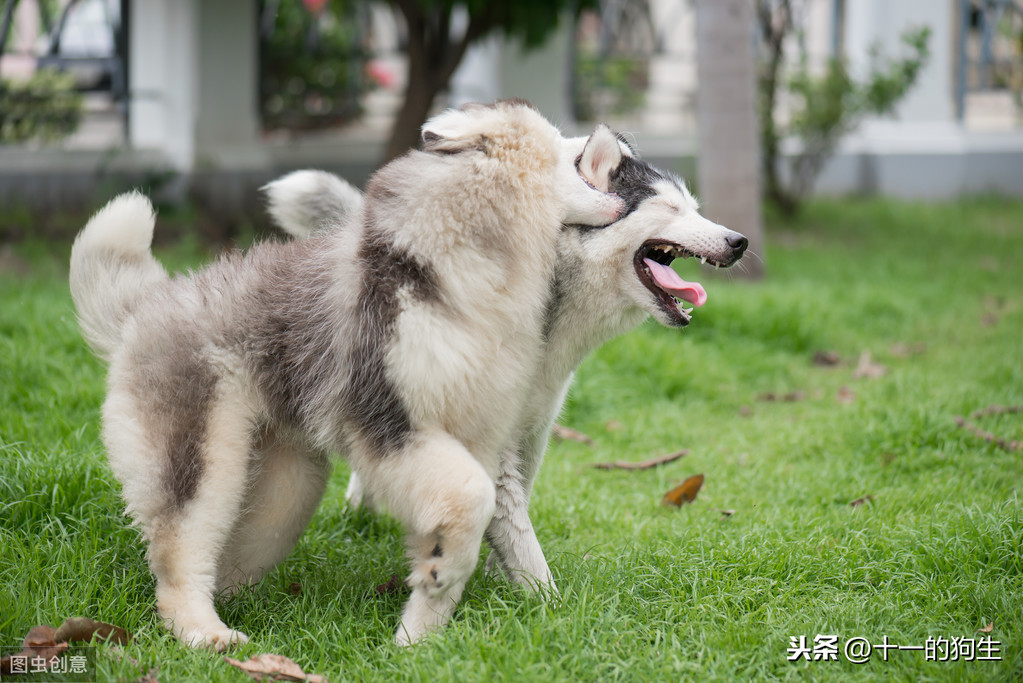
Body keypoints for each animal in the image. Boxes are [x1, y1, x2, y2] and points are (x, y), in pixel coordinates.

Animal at [68, 98, 626, 650]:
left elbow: (469, 522)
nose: (619, 143)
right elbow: (473, 497)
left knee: (227, 556)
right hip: (201, 460)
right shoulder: (387, 422)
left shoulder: (476, 437)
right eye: (570, 149)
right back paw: (207, 634)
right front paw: (441, 582)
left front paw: (418, 638)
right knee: (178, 555)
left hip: (286, 488)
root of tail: (140, 309)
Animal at [259, 139, 748, 593]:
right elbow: (519, 536)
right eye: (669, 207)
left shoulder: (534, 426)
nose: (739, 241)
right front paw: (545, 602)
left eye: (694, 209)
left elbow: (517, 509)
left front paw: (503, 574)